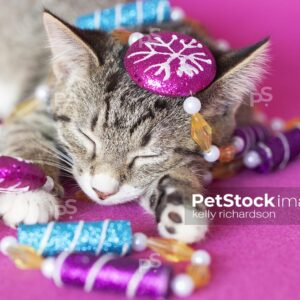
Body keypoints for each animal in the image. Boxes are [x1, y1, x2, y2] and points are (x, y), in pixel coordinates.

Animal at [0, 9, 268, 244]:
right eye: (86, 137)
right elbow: (23, 132)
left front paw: (180, 201)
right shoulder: (36, 103)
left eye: (149, 155)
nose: (102, 191)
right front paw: (29, 192)